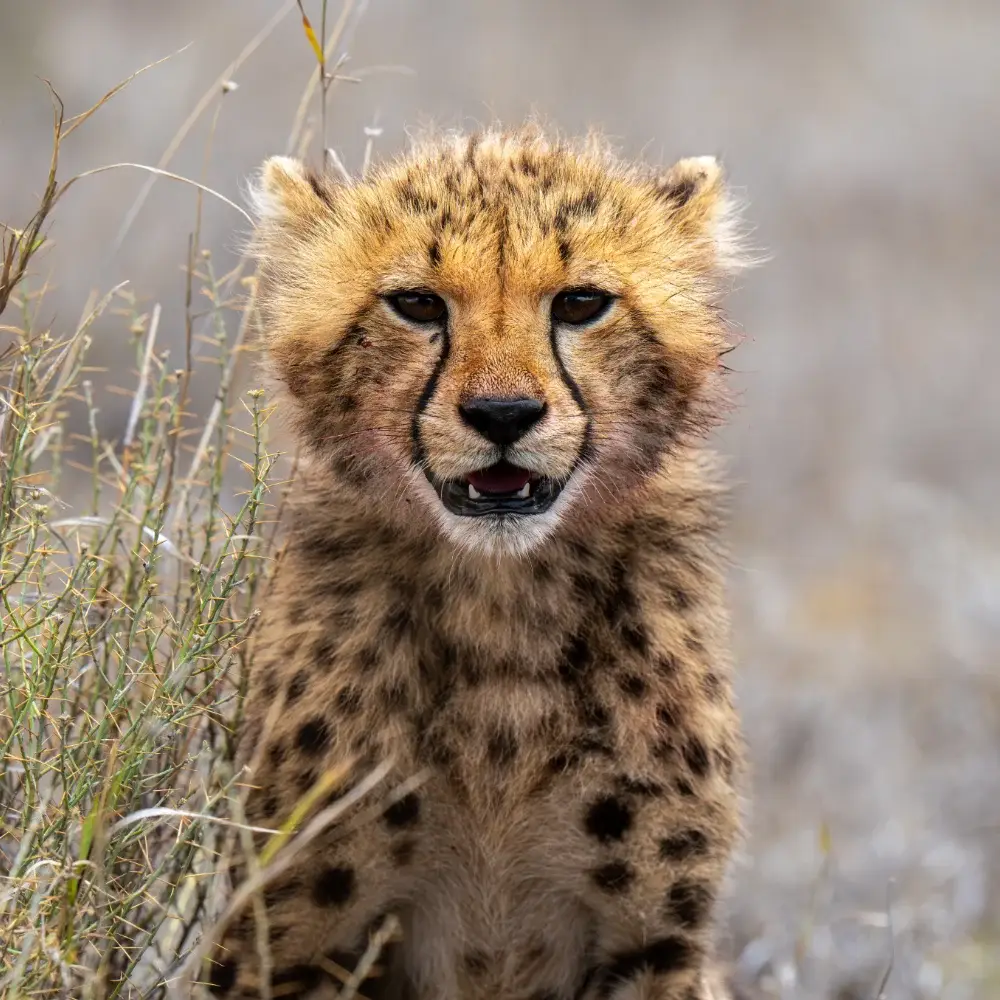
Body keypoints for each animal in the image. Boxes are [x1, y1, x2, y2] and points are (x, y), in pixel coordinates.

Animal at [202, 124, 751, 1000]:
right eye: (418, 303)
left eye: (581, 303)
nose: (502, 414)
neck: (503, 613)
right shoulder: (291, 941)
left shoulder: (652, 945)